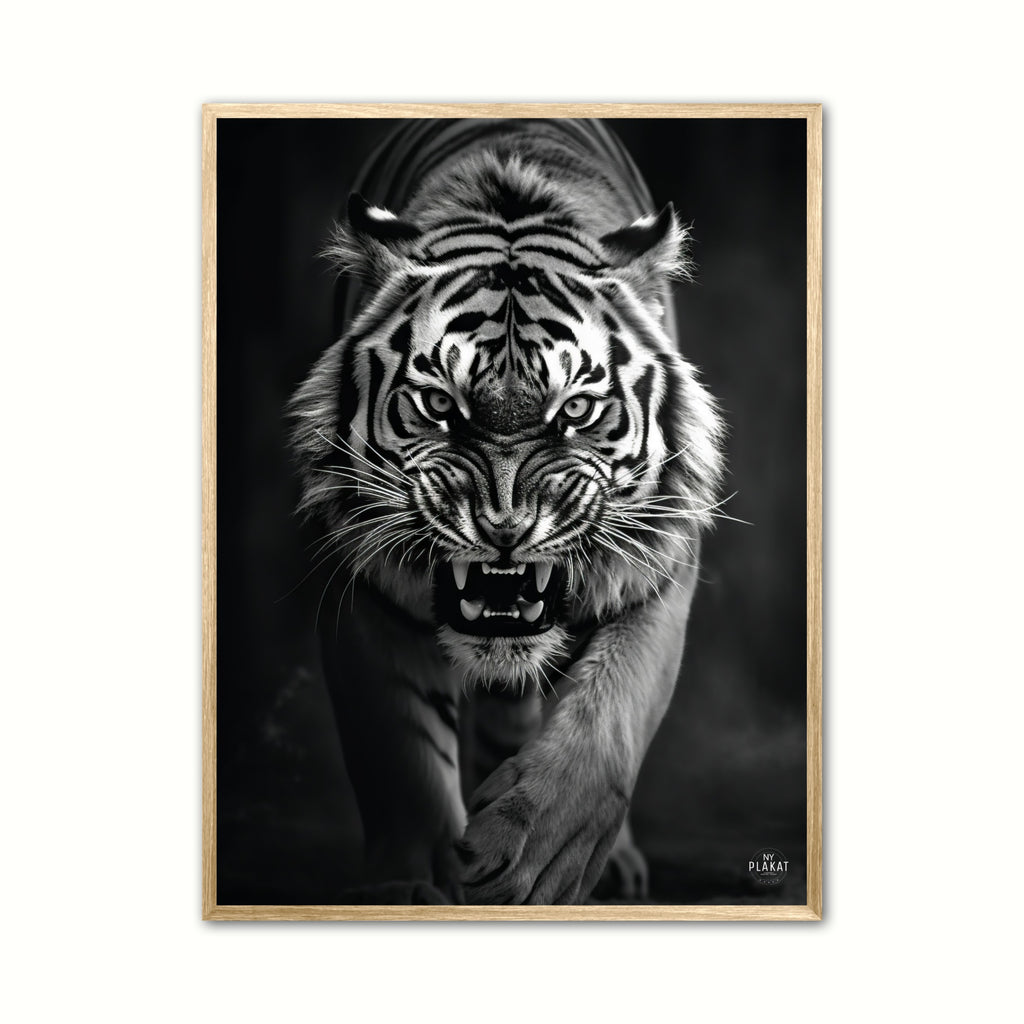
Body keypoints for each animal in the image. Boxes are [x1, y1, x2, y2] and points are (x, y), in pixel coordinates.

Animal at [289, 118, 725, 905]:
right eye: (439, 404)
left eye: (576, 410)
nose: (504, 531)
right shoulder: (363, 584)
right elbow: (400, 758)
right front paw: (412, 884)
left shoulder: (659, 569)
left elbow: (604, 725)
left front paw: (533, 857)